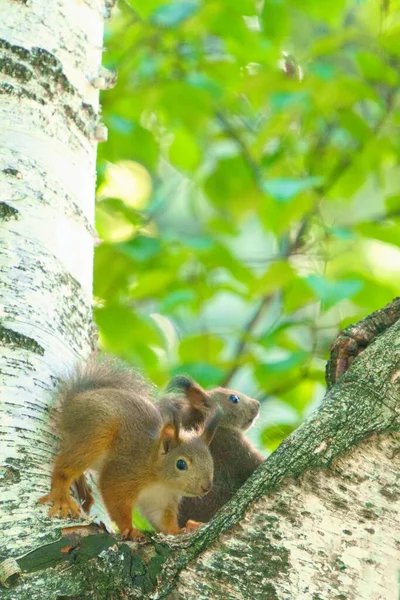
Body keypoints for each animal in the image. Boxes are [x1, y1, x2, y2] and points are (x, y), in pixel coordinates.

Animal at [39, 354, 222, 540]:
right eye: (181, 464)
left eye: (210, 461)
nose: (206, 487)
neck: (159, 479)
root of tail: (75, 399)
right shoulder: (124, 473)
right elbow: (115, 499)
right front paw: (129, 529)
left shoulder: (161, 499)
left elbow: (163, 523)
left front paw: (181, 530)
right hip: (97, 429)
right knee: (66, 466)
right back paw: (62, 495)